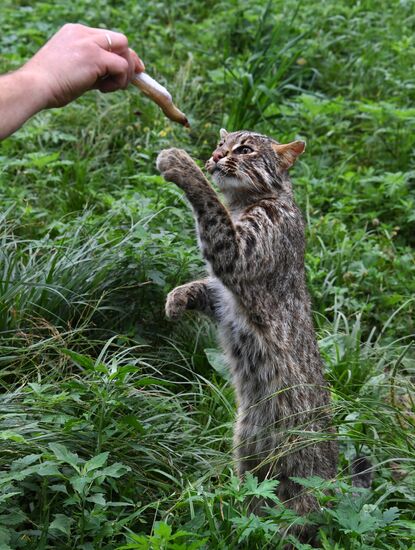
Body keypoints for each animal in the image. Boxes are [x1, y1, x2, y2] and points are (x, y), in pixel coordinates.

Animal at [158, 130, 340, 540]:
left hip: (298, 479)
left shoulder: (238, 257)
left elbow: (210, 207)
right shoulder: (224, 293)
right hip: (247, 449)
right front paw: (176, 299)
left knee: (298, 519)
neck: (246, 200)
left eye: (244, 150)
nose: (213, 157)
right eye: (220, 144)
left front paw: (182, 165)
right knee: (255, 495)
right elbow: (204, 286)